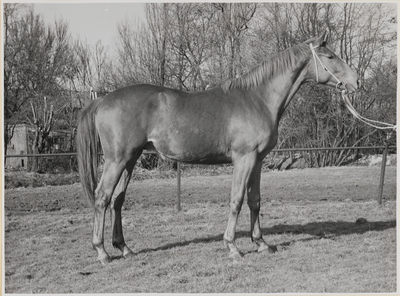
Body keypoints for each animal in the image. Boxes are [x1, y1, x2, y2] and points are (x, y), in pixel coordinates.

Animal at [76, 31, 360, 264]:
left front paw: (261, 243)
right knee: (102, 197)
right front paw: (233, 247)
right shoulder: (244, 159)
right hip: (117, 160)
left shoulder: (257, 161)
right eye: (330, 56)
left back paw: (124, 248)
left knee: (117, 200)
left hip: (131, 160)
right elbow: (236, 200)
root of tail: (103, 99)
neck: (257, 99)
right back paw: (102, 252)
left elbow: (255, 201)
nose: (356, 82)